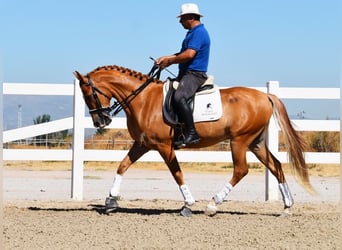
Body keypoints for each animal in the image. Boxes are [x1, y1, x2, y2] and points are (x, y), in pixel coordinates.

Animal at [73, 64, 316, 217]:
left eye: (89, 94)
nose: (100, 121)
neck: (143, 99)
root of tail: (265, 95)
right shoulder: (142, 144)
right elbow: (122, 166)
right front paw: (111, 200)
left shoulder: (164, 146)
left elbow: (177, 174)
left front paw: (188, 205)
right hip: (255, 143)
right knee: (276, 166)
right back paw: (287, 207)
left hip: (239, 141)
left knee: (241, 170)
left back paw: (213, 204)